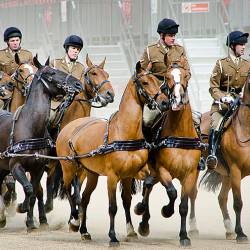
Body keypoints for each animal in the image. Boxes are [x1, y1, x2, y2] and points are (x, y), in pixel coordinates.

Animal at [0, 56, 81, 230]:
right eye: (51, 72)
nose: (78, 84)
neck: (30, 127)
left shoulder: (38, 169)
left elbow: (34, 192)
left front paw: (31, 222)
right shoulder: (15, 167)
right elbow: (29, 189)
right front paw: (21, 208)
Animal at [55, 61, 169, 246]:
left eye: (158, 82)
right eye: (145, 82)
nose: (165, 102)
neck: (124, 132)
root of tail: (70, 126)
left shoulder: (130, 174)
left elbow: (129, 199)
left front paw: (132, 228)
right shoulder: (112, 176)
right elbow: (113, 207)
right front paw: (113, 236)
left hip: (91, 173)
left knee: (84, 198)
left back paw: (84, 231)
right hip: (69, 168)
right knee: (68, 190)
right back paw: (74, 221)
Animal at [134, 53, 202, 247]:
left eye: (186, 76)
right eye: (167, 77)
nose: (177, 101)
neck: (179, 135)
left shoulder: (190, 175)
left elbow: (183, 206)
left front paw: (184, 236)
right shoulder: (164, 170)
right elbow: (172, 192)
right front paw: (166, 210)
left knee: (149, 185)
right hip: (153, 170)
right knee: (148, 187)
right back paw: (143, 218)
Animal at [200, 75, 250, 243]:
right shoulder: (235, 170)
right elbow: (238, 203)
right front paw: (241, 233)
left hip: (226, 175)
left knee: (221, 198)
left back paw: (229, 230)